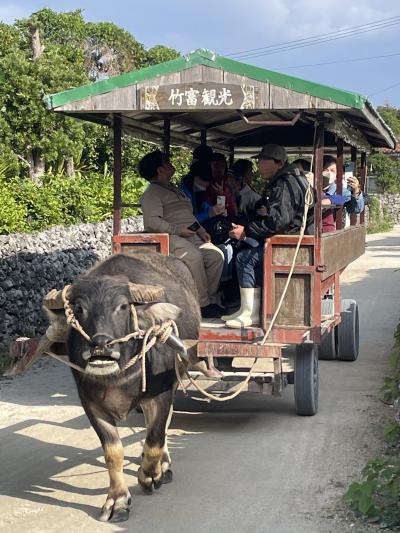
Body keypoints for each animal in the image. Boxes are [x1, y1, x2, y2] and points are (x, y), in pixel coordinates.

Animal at [58, 251, 200, 520]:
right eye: (79, 309)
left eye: (123, 307)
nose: (100, 346)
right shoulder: (91, 403)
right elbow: (113, 452)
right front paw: (118, 501)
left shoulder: (161, 393)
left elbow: (155, 438)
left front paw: (149, 475)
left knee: (162, 425)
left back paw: (163, 465)